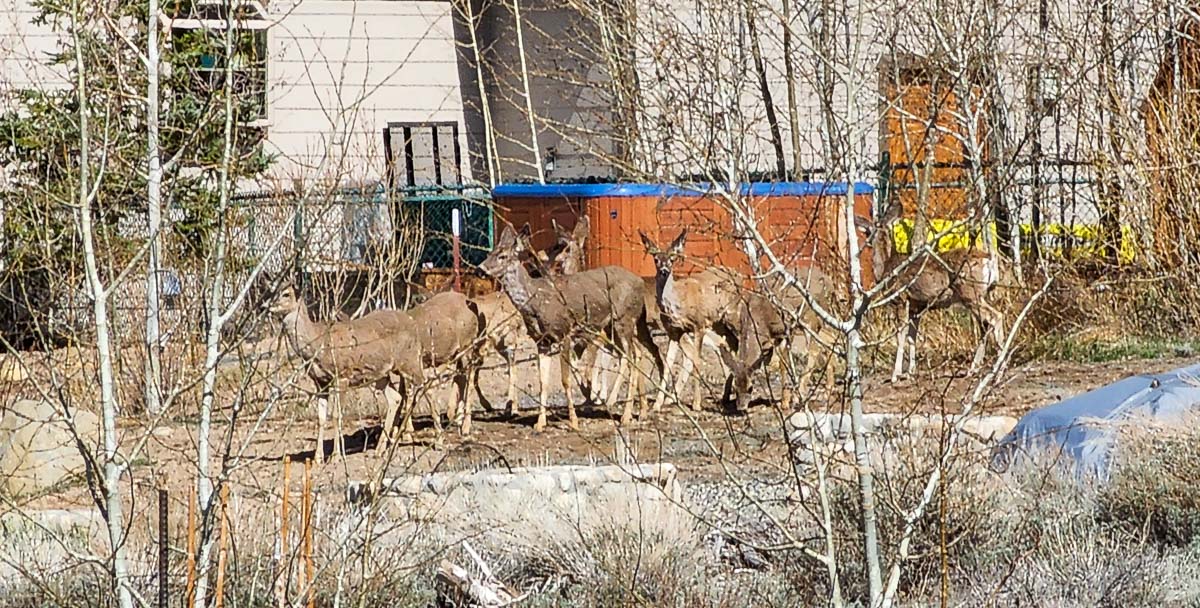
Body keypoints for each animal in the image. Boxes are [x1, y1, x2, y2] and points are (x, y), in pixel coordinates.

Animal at [480, 225, 667, 434]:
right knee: (637, 353)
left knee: (631, 356)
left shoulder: (564, 332)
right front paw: (540, 423)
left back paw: (622, 412)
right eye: (489, 253)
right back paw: (634, 411)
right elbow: (543, 382)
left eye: (503, 256)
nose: (481, 268)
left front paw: (574, 421)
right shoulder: (542, 341)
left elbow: (565, 380)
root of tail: (640, 282)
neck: (536, 303)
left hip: (623, 319)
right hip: (616, 325)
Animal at [854, 207, 1003, 383]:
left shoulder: (900, 299)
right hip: (981, 295)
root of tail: (989, 260)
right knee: (985, 326)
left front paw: (895, 375)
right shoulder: (916, 306)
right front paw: (911, 372)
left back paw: (998, 371)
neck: (886, 267)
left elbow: (900, 336)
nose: (866, 242)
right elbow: (912, 336)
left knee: (995, 316)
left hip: (970, 293)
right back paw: (973, 369)